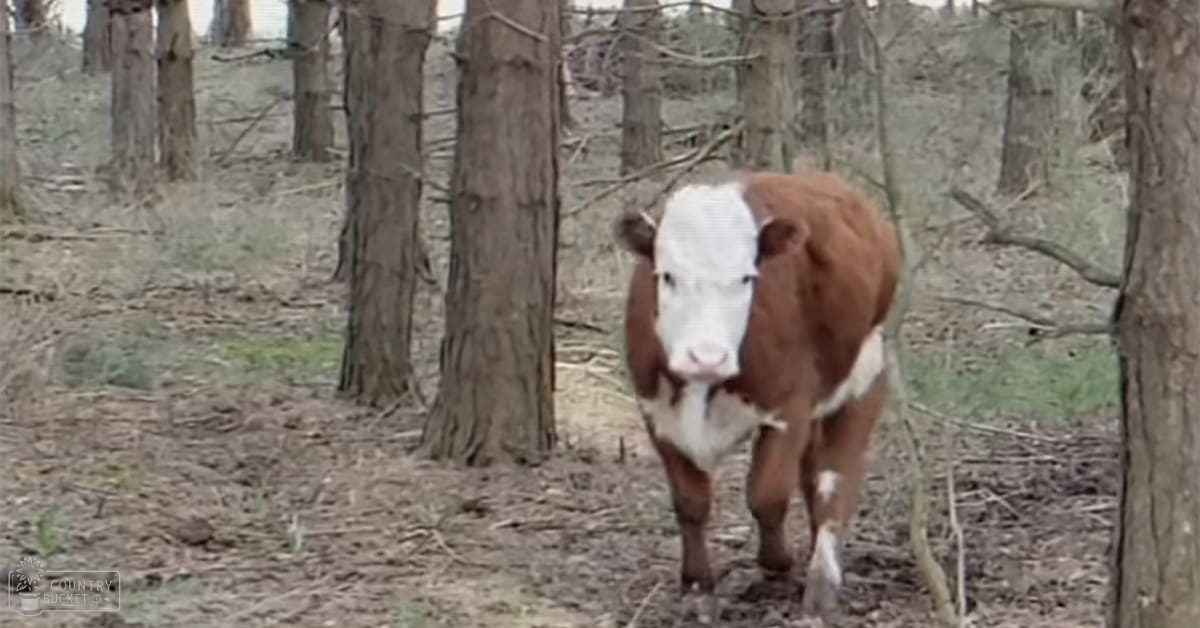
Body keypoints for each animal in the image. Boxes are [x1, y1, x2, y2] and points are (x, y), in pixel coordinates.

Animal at [615, 170, 901, 624]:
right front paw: (697, 588)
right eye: (668, 276)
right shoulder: (657, 413)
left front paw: (778, 568)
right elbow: (690, 502)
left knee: (834, 476)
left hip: (867, 370)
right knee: (813, 474)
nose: (706, 356)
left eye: (746, 278)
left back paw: (822, 580)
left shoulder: (790, 406)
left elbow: (766, 495)